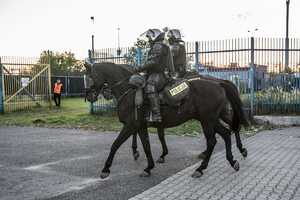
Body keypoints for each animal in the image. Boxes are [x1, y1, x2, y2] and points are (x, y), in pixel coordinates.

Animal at [84, 62, 248, 178]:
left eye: (89, 77)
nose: (89, 97)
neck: (129, 91)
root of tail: (218, 83)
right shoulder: (141, 127)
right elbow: (147, 146)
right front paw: (149, 167)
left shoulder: (131, 126)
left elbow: (115, 145)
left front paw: (106, 168)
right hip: (212, 118)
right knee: (226, 133)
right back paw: (233, 160)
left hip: (208, 120)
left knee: (213, 140)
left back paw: (201, 168)